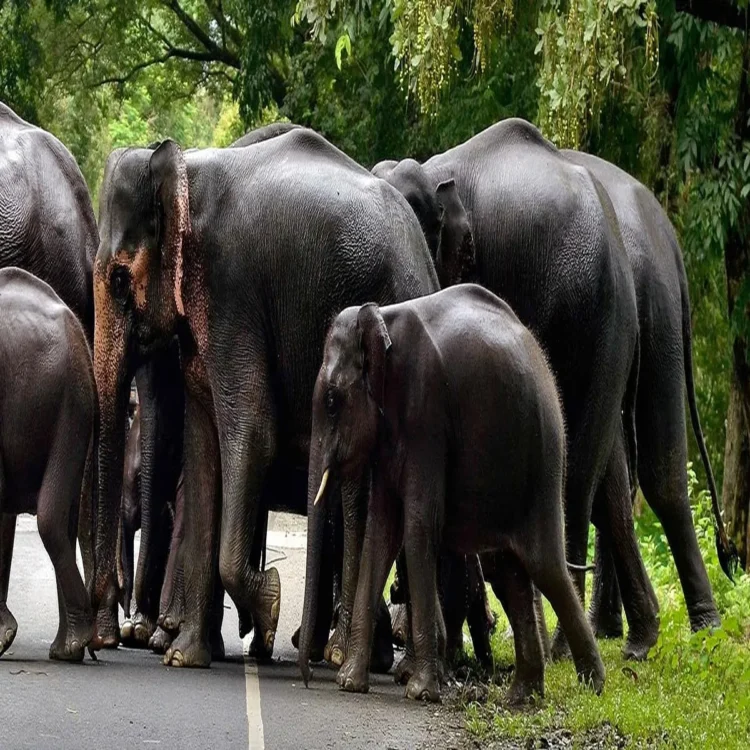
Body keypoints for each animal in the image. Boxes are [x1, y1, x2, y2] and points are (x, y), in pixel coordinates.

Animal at [91, 126, 439, 668]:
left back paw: (342, 654)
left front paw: (269, 606)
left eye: (121, 278)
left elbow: (252, 433)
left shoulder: (233, 290)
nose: (106, 638)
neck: (185, 167)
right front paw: (185, 657)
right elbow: (203, 446)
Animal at [302, 285, 606, 703]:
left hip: (542, 461)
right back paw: (520, 699)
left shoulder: (426, 414)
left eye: (332, 401)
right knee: (511, 573)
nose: (306, 680)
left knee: (545, 566)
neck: (381, 317)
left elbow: (417, 527)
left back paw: (593, 687)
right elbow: (381, 533)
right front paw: (350, 684)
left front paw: (420, 692)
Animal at [372, 118, 660, 660]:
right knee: (598, 465)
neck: (432, 169)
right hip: (611, 333)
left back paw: (561, 648)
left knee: (571, 474)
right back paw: (628, 641)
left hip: (584, 317)